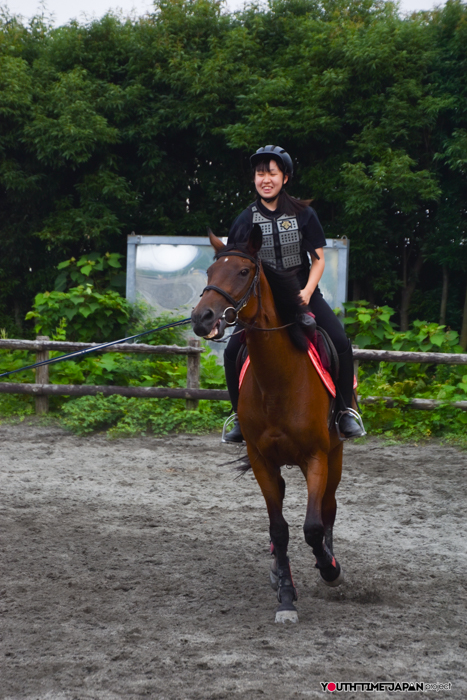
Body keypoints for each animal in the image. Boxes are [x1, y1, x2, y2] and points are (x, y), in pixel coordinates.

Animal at [191, 226, 344, 623]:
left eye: (244, 272)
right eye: (209, 272)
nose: (202, 318)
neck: (279, 381)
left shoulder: (317, 457)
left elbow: (312, 527)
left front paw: (329, 568)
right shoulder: (262, 461)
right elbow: (279, 529)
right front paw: (287, 597)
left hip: (335, 455)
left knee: (329, 506)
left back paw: (330, 560)